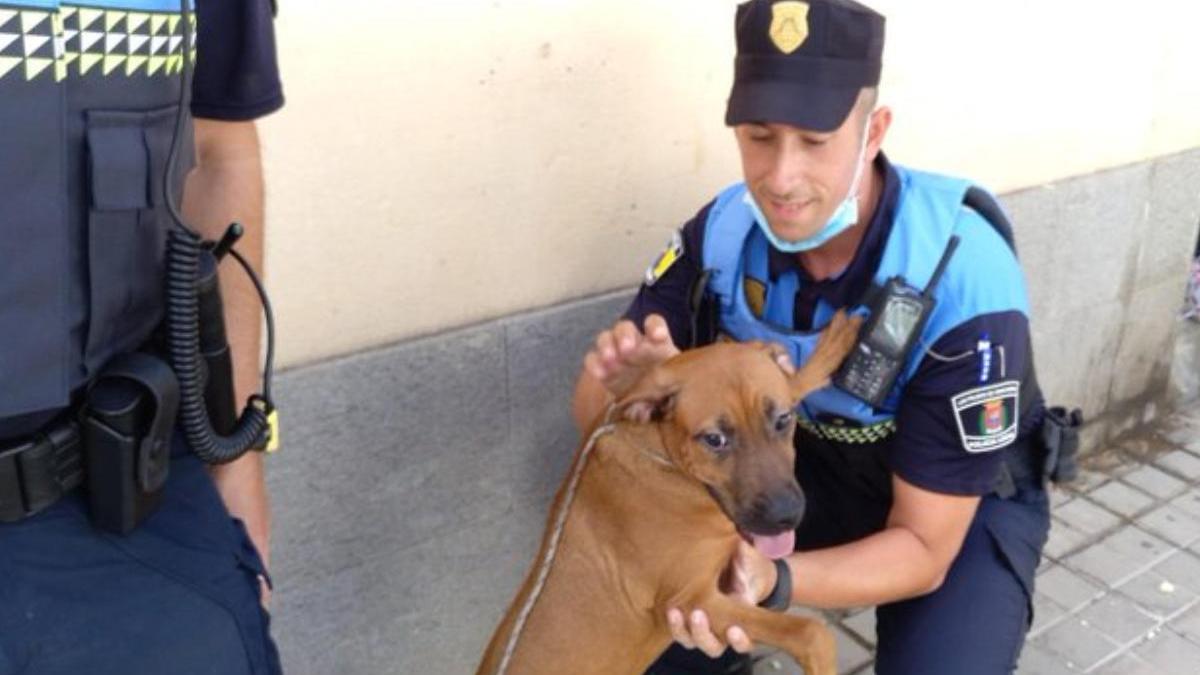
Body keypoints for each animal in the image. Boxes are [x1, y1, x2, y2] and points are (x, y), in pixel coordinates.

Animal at [477, 312, 864, 672]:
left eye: (783, 420)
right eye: (714, 439)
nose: (787, 516)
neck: (664, 456)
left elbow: (792, 380)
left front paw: (831, 347)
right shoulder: (689, 600)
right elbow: (812, 632)